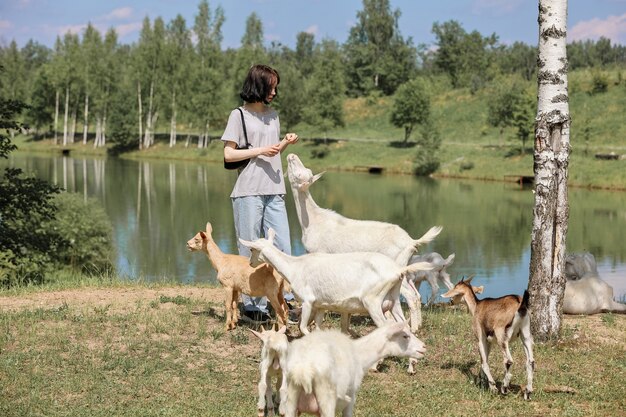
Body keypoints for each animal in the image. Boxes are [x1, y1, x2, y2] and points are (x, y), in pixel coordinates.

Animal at [236, 226, 432, 336]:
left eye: (252, 249)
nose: (250, 263)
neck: (295, 267)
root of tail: (398, 271)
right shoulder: (321, 304)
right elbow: (317, 328)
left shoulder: (308, 301)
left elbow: (304, 328)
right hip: (393, 300)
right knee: (402, 324)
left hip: (374, 301)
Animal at [282, 322, 424, 416]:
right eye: (405, 336)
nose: (424, 347)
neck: (360, 354)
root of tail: (302, 369)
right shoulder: (351, 396)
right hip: (327, 398)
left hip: (290, 399)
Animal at [286, 153, 442, 332]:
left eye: (299, 174)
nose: (291, 155)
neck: (313, 220)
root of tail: (411, 241)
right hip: (407, 267)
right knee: (416, 294)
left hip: (395, 265)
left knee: (410, 296)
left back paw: (414, 328)